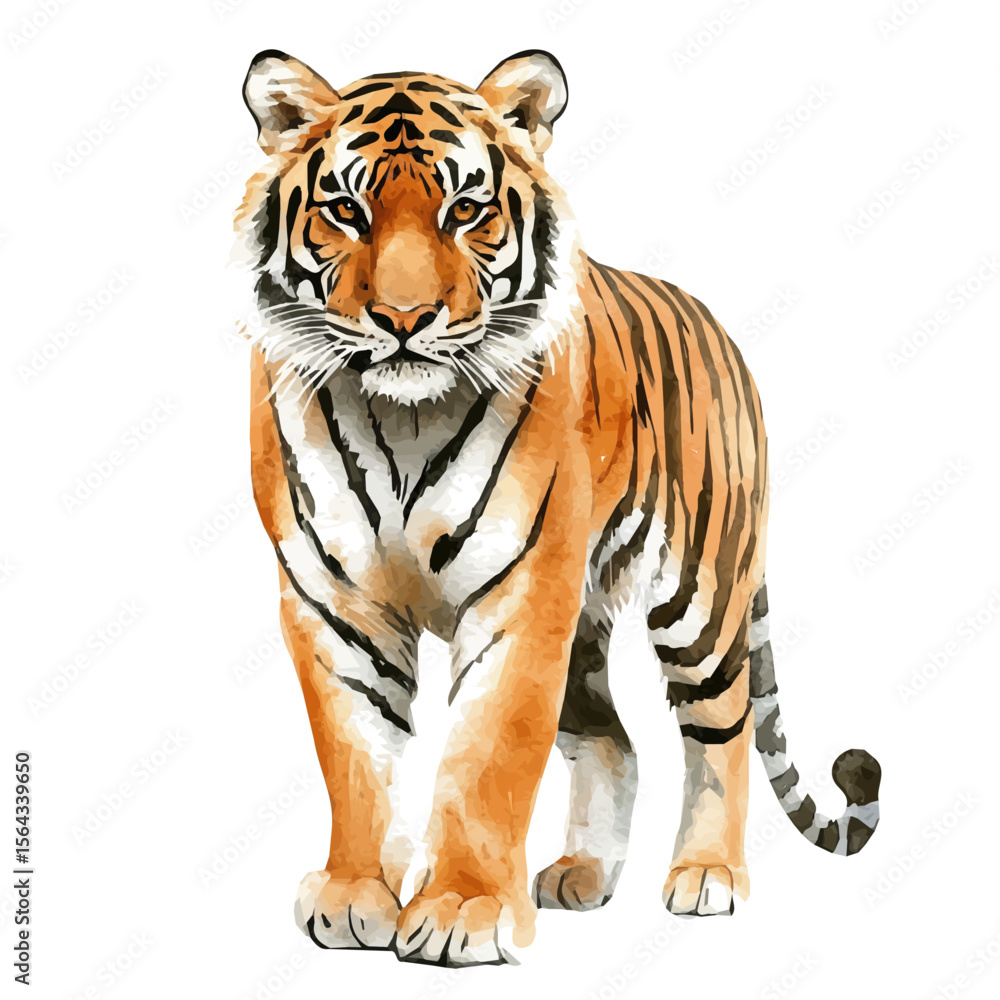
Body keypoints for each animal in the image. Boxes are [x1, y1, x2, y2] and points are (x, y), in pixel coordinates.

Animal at [236, 48, 881, 967]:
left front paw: (463, 912)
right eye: (346, 211)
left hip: (702, 599)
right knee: (616, 739)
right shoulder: (337, 602)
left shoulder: (521, 595)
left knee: (721, 732)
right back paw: (583, 875)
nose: (403, 319)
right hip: (585, 624)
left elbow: (490, 758)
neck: (400, 418)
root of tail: (720, 328)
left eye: (465, 211)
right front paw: (356, 897)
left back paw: (708, 876)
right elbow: (356, 757)